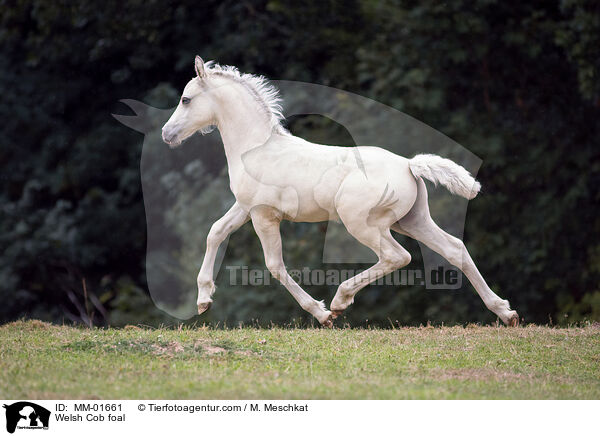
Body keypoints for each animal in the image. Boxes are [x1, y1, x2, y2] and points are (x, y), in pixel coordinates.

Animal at [162, 56, 516, 326]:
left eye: (186, 99)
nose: (167, 134)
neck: (256, 148)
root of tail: (409, 165)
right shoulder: (245, 207)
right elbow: (215, 231)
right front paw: (203, 299)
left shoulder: (264, 215)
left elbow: (275, 265)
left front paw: (321, 314)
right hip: (413, 221)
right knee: (455, 249)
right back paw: (505, 312)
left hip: (361, 223)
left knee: (396, 256)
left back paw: (340, 300)